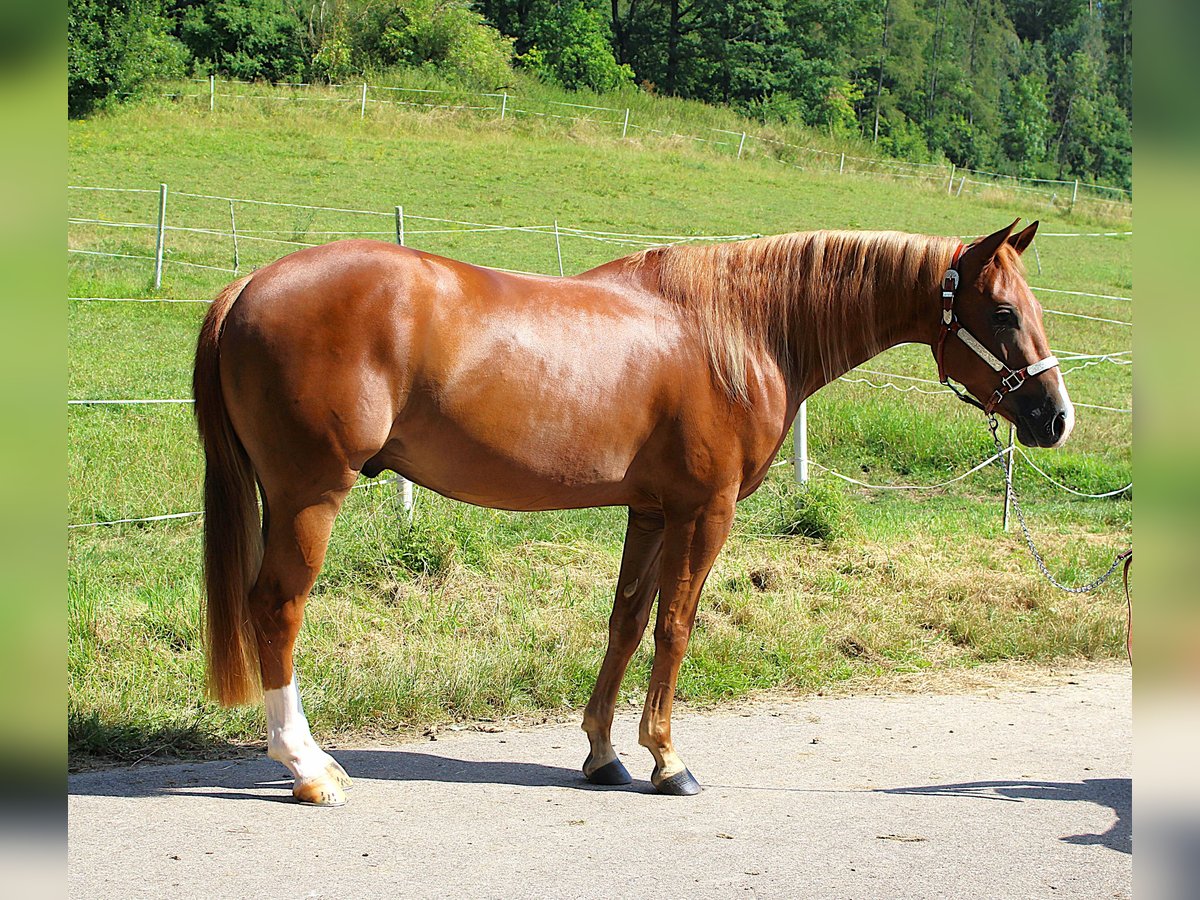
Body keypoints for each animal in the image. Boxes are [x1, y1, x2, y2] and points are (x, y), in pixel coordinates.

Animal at [192, 220, 1075, 811]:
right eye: (1002, 312)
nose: (1054, 418)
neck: (742, 330)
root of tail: (248, 286)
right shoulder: (704, 512)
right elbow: (676, 626)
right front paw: (667, 759)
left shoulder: (650, 512)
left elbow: (625, 622)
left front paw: (602, 753)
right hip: (310, 496)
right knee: (276, 610)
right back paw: (308, 769)